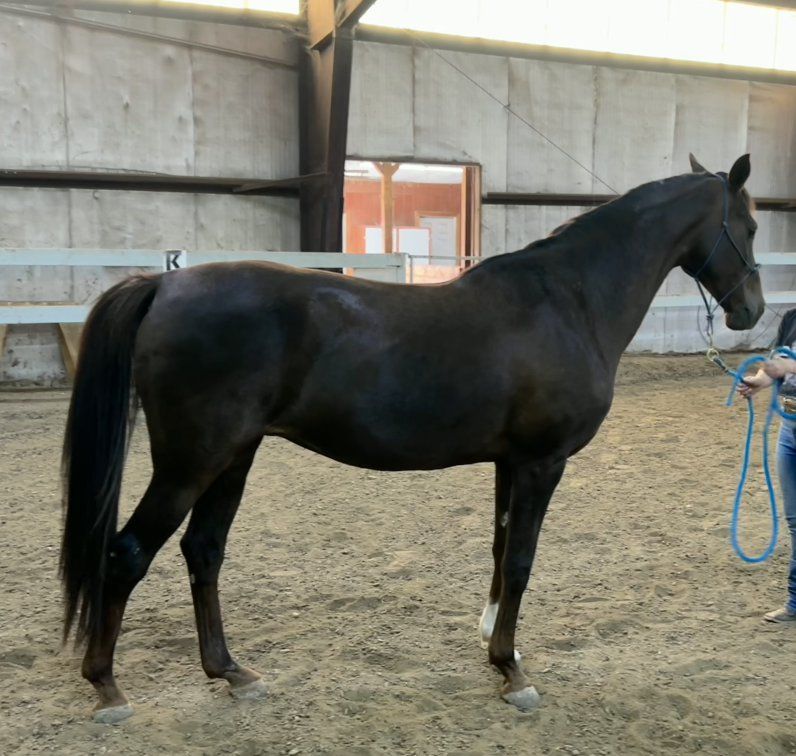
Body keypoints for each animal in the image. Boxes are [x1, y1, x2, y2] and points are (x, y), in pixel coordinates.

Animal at [60, 154, 763, 722]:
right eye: (751, 227)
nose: (750, 310)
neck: (568, 301)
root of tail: (165, 283)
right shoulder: (543, 462)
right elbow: (522, 560)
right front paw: (513, 672)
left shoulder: (511, 462)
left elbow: (499, 550)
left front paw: (492, 643)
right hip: (191, 462)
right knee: (127, 554)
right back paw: (108, 689)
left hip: (233, 457)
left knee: (203, 552)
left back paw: (232, 673)